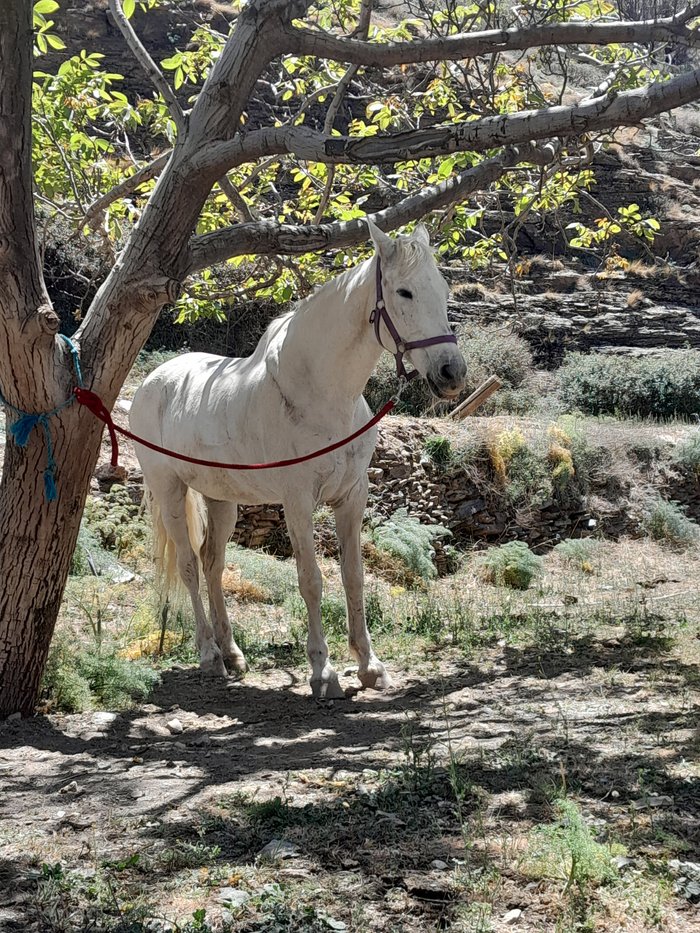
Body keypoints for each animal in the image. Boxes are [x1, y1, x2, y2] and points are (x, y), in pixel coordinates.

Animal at [131, 222, 468, 696]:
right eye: (404, 292)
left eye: (442, 289)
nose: (452, 372)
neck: (322, 395)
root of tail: (153, 382)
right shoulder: (298, 502)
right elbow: (311, 580)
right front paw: (323, 672)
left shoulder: (352, 498)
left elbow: (353, 577)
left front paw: (369, 665)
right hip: (169, 491)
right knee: (189, 567)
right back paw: (210, 656)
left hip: (221, 499)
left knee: (213, 565)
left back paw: (232, 652)